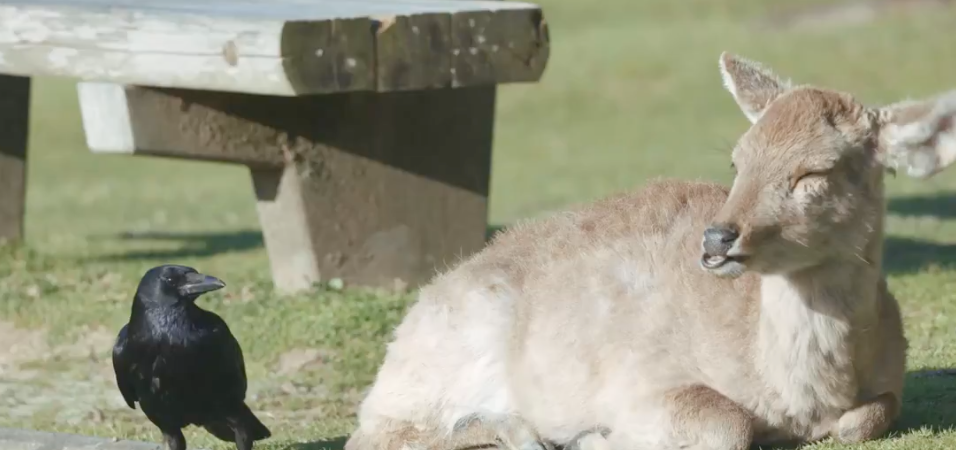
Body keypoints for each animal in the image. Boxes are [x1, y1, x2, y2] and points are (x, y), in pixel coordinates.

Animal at [343, 52, 956, 450]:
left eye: (814, 172)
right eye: (738, 159)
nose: (717, 239)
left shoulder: (886, 383)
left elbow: (874, 413)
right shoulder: (637, 378)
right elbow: (726, 424)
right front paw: (593, 437)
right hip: (444, 349)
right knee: (377, 435)